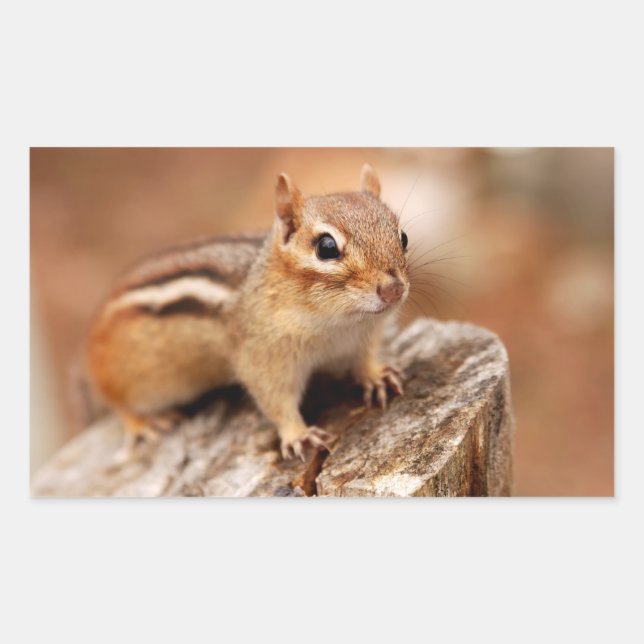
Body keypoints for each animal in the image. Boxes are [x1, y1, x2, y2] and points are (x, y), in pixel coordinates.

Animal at [86, 164, 410, 461]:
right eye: (326, 247)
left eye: (403, 237)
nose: (393, 289)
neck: (341, 325)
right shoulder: (262, 357)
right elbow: (276, 400)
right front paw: (298, 435)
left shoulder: (363, 339)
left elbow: (364, 360)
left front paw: (377, 375)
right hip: (135, 381)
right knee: (117, 402)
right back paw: (142, 423)